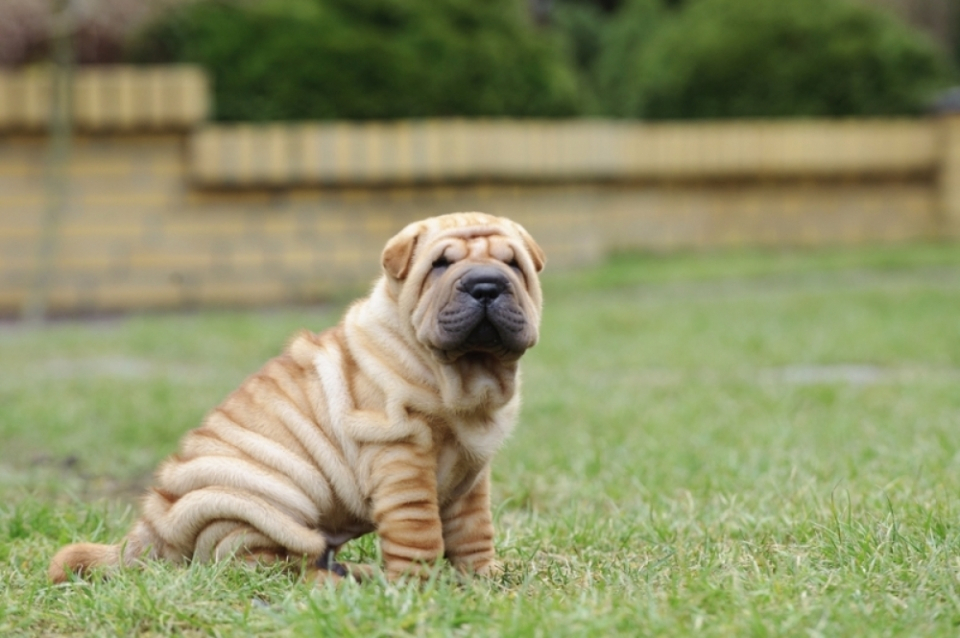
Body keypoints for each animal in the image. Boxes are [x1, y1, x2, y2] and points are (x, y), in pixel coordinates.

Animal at [50, 212, 548, 588]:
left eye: (514, 266)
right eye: (440, 265)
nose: (486, 284)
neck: (467, 376)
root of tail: (150, 526)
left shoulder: (472, 473)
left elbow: (473, 531)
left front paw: (484, 577)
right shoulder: (400, 456)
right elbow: (418, 530)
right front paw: (418, 588)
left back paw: (356, 572)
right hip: (256, 506)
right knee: (259, 565)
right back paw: (339, 581)